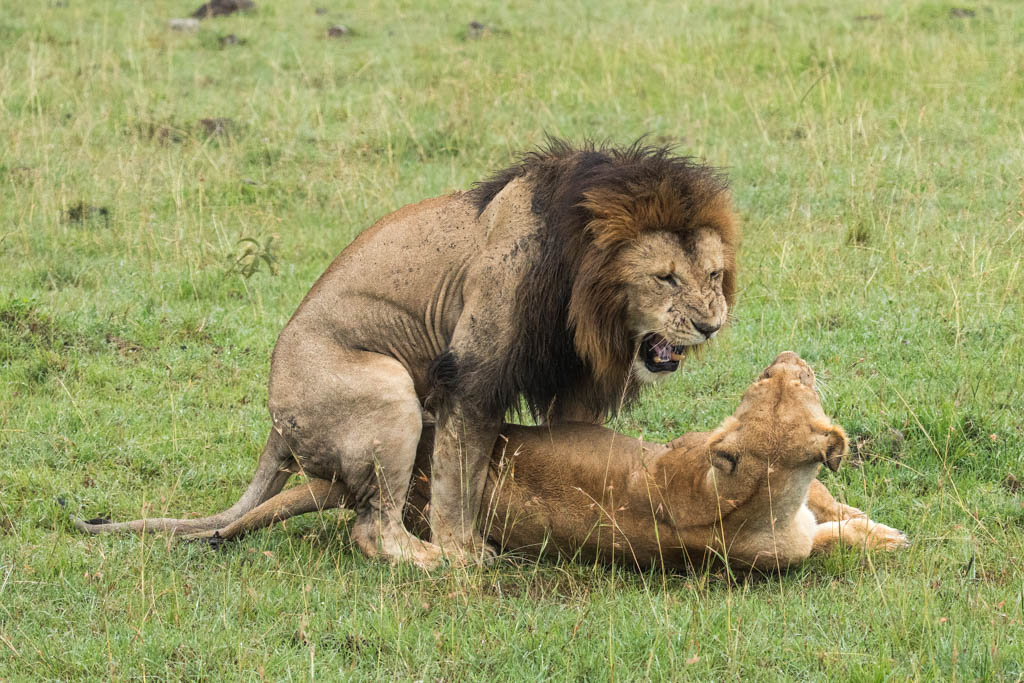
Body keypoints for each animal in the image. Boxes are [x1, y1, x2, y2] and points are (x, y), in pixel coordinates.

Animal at [75, 140, 741, 573]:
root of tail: (274, 421)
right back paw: (435, 560)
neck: (588, 290)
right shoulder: (472, 370)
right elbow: (457, 472)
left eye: (712, 274)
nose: (710, 325)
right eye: (663, 277)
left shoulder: (572, 381)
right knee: (371, 529)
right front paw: (461, 548)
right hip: (388, 393)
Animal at [174, 352, 905, 573]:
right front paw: (880, 531)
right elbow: (834, 520)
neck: (750, 495)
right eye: (768, 379)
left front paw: (871, 526)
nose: (787, 357)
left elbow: (832, 517)